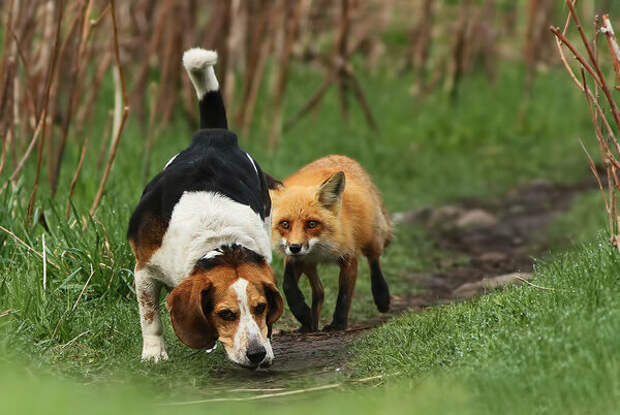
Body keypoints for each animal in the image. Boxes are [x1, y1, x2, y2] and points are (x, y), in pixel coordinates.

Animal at [268, 154, 390, 334]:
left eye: (312, 224)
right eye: (285, 224)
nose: (295, 247)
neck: (319, 249)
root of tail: (340, 156)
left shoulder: (348, 257)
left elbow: (344, 295)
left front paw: (338, 324)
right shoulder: (296, 259)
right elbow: (288, 285)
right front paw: (303, 314)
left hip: (371, 238)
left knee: (374, 262)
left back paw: (382, 296)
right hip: (309, 265)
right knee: (320, 291)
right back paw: (308, 324)